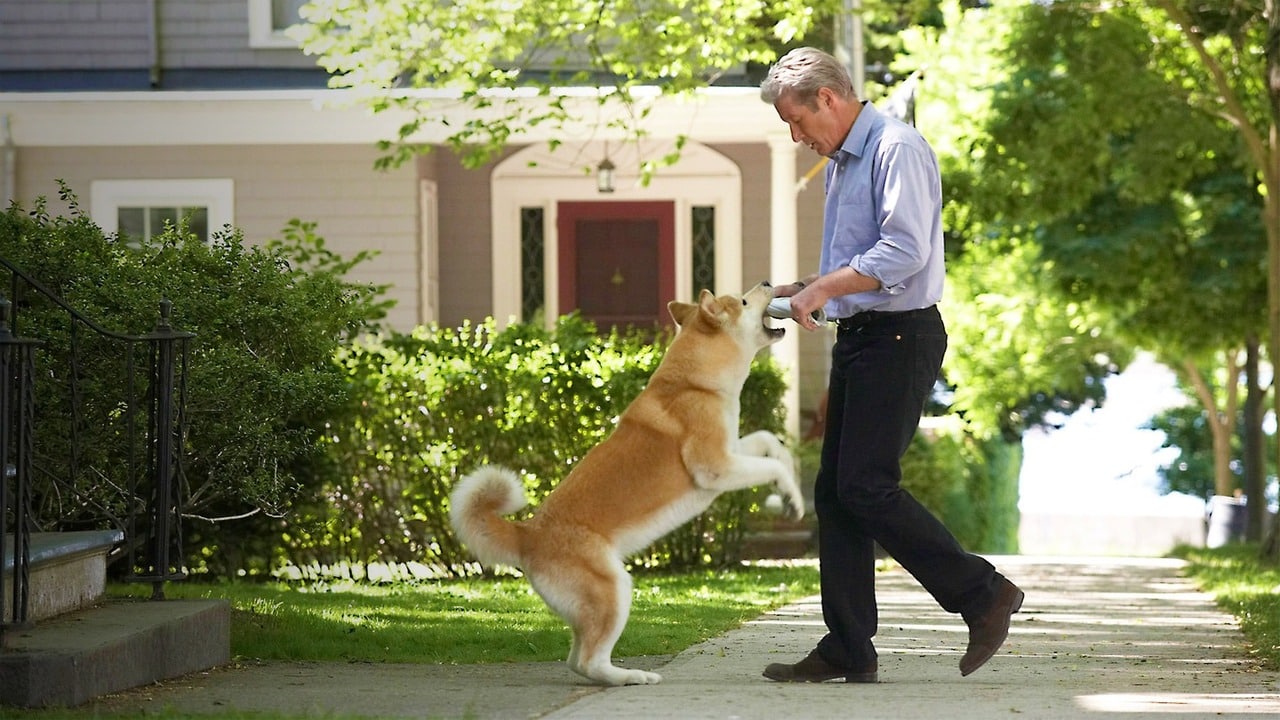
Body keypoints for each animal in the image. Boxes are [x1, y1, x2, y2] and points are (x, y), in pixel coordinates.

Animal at [450, 280, 803, 681]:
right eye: (743, 301)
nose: (768, 283)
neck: (695, 384)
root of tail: (526, 534)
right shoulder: (716, 467)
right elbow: (771, 465)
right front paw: (789, 495)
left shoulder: (732, 449)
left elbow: (768, 442)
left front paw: (788, 487)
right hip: (614, 589)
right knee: (589, 662)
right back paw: (632, 677)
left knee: (577, 660)